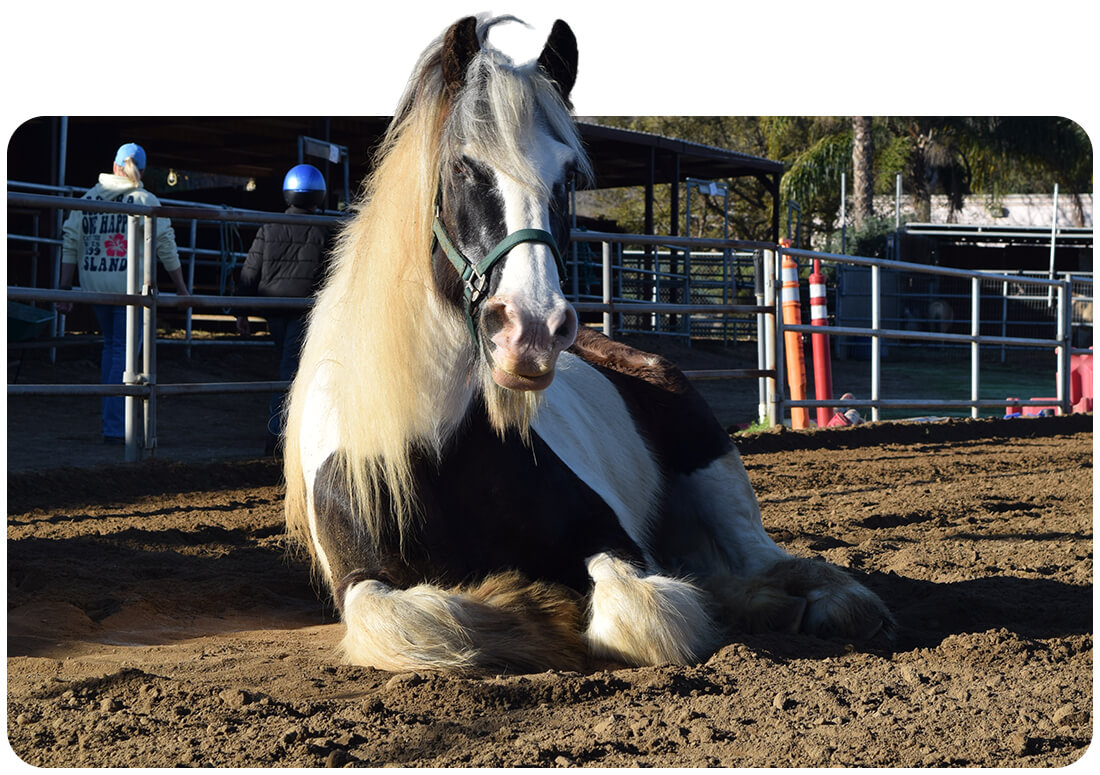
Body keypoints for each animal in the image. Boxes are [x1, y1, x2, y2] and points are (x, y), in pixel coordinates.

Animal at [282, 14, 894, 674]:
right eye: (463, 166)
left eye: (569, 175)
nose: (531, 330)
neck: (433, 450)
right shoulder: (360, 581)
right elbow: (417, 623)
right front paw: (527, 607)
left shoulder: (612, 539)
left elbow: (642, 613)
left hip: (712, 469)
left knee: (759, 559)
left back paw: (822, 602)